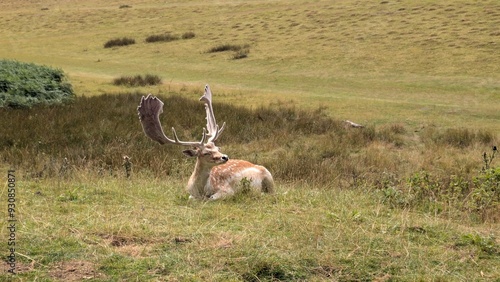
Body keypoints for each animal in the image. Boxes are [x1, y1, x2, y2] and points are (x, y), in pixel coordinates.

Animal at [137, 84, 274, 200]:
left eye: (217, 148)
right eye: (206, 153)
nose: (225, 157)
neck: (201, 190)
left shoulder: (227, 190)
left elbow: (211, 198)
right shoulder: (190, 193)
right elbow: (192, 198)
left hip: (269, 176)